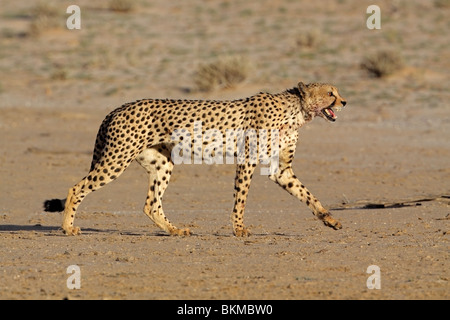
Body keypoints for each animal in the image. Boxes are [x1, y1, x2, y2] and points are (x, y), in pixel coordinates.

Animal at [44, 82, 348, 238]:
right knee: (76, 188)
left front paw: (330, 219)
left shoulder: (280, 169)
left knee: (151, 204)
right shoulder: (247, 160)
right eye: (330, 93)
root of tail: (117, 108)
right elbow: (241, 200)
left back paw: (175, 230)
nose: (344, 102)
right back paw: (68, 227)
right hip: (116, 160)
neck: (297, 110)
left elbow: (307, 195)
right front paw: (239, 229)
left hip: (161, 164)